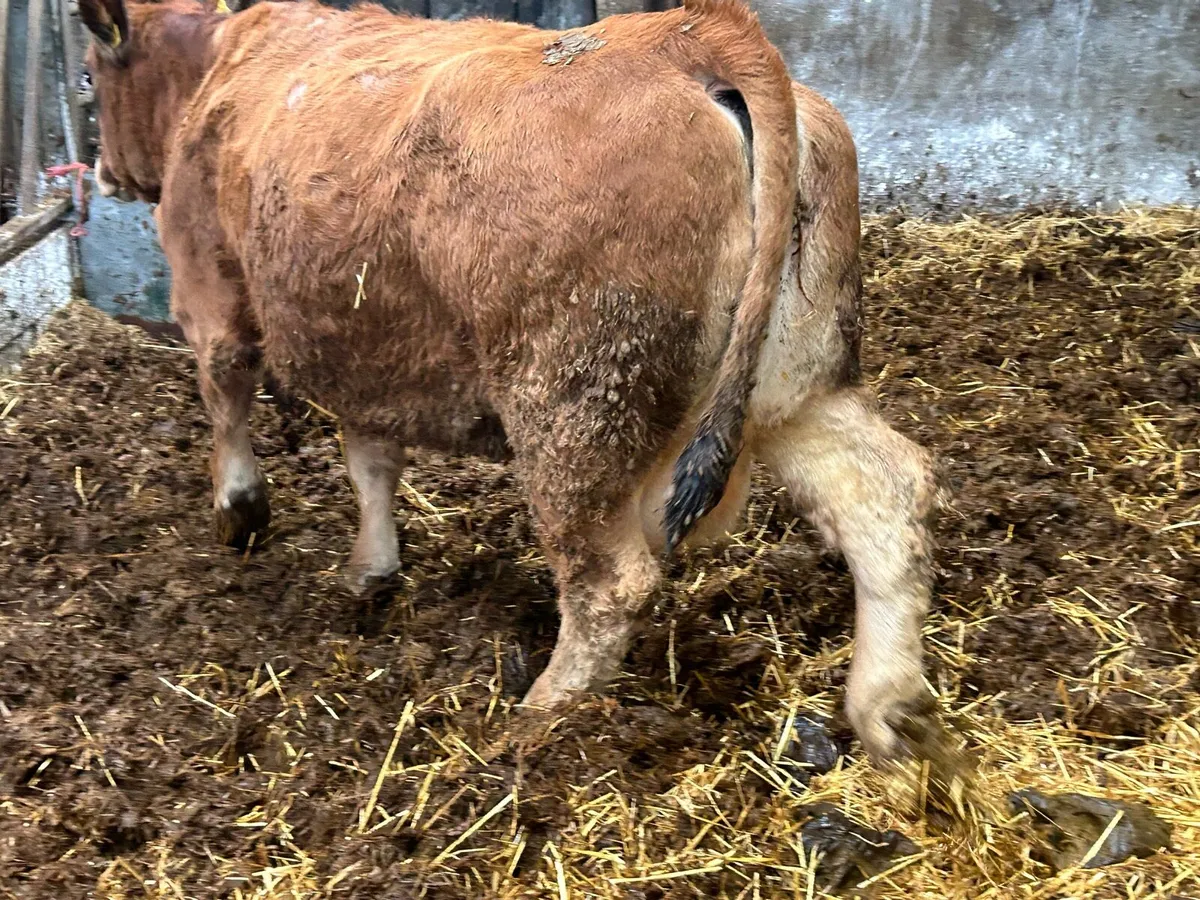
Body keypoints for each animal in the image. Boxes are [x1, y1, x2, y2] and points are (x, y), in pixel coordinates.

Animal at [78, 0, 947, 769]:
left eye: (89, 76)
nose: (101, 173)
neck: (216, 62)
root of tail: (691, 33)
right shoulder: (368, 349)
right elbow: (371, 459)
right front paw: (372, 568)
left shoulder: (207, 286)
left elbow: (227, 394)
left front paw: (240, 512)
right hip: (796, 381)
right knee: (882, 491)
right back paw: (893, 717)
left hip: (573, 406)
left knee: (609, 584)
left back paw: (538, 719)